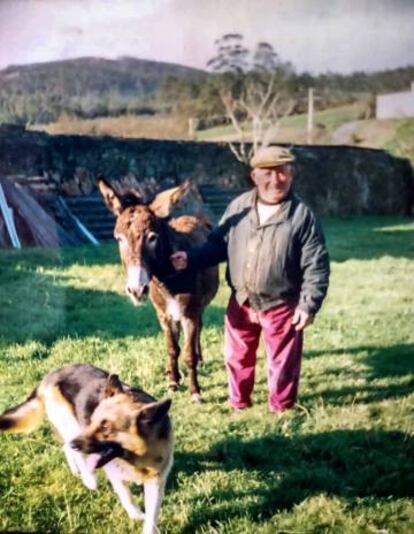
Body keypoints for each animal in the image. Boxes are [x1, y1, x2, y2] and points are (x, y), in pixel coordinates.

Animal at [0, 364, 173, 534]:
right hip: (71, 426)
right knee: (75, 453)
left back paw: (76, 469)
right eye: (93, 421)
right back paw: (89, 479)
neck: (136, 457)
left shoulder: (155, 485)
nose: (74, 444)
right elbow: (127, 496)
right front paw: (135, 514)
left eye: (105, 428)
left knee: (66, 448)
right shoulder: (115, 474)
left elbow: (151, 519)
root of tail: (50, 375)